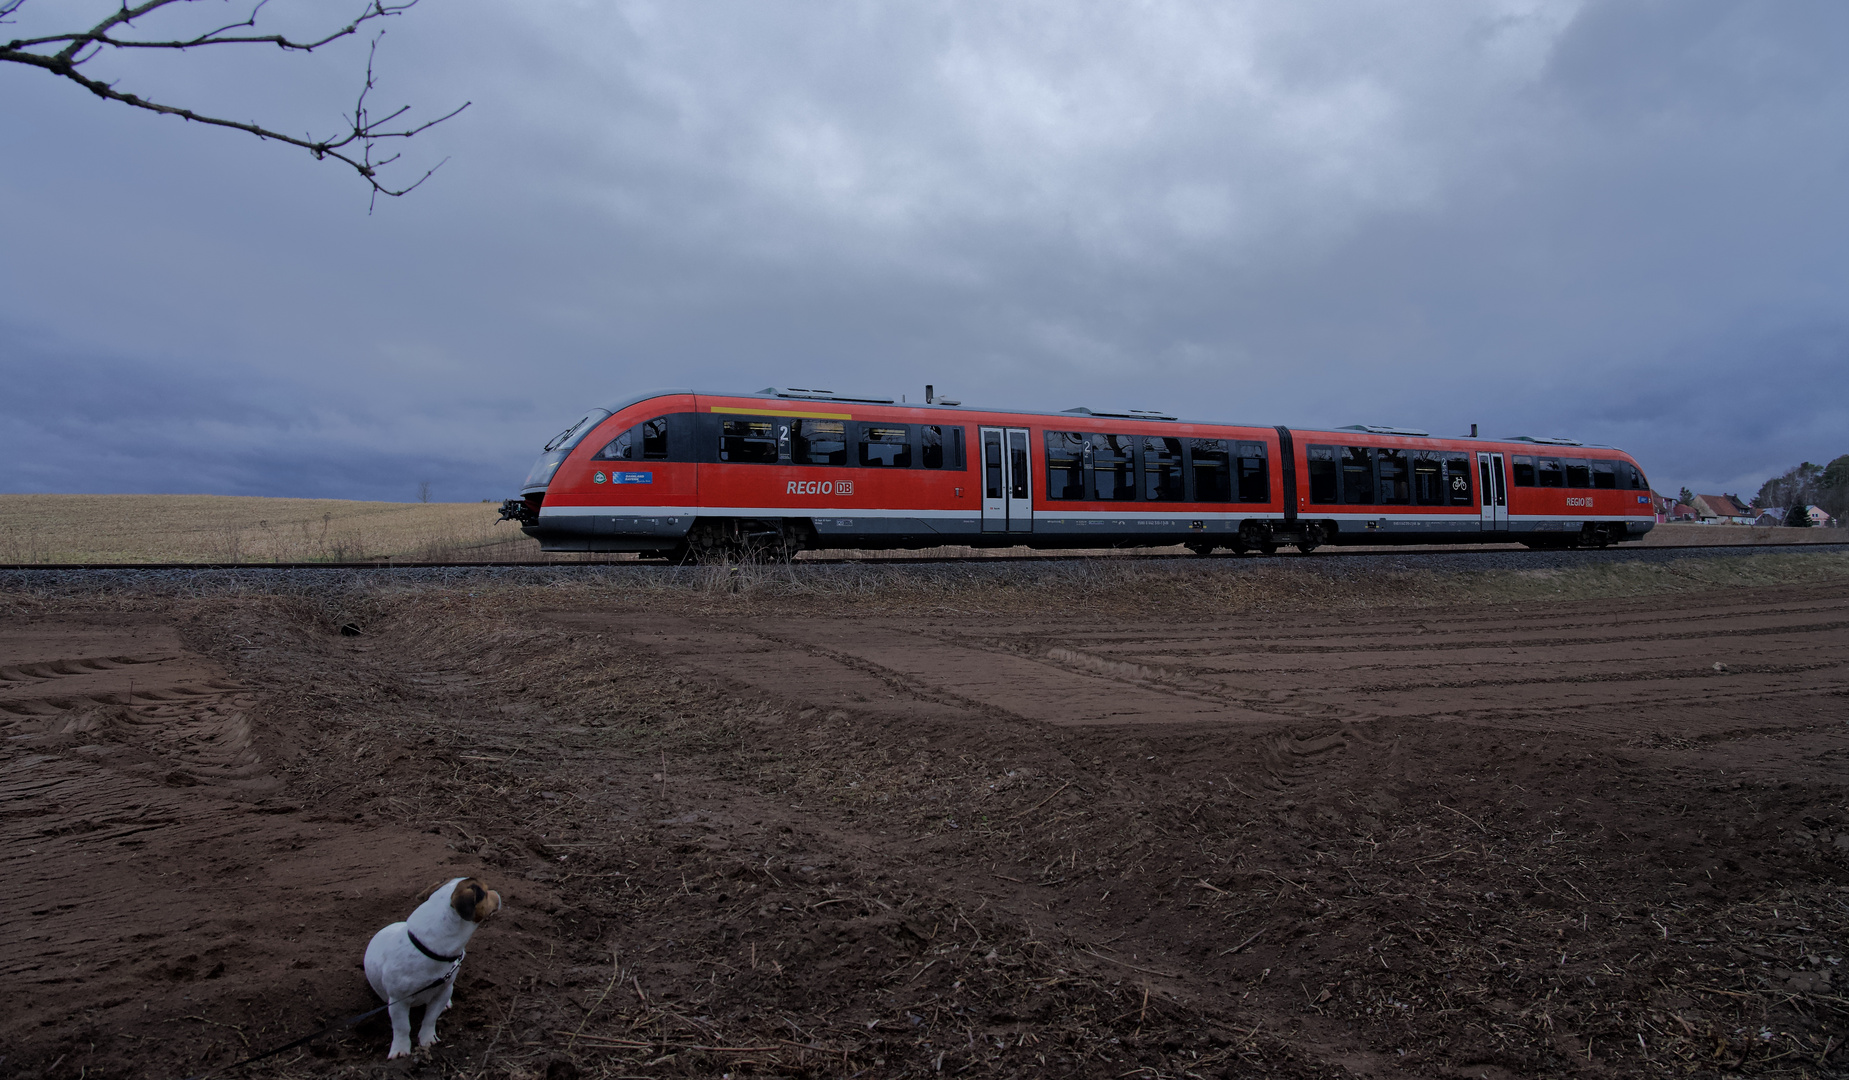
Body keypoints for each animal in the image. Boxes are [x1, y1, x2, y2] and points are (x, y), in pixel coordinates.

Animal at [362, 872, 502, 1057]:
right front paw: (400, 1049)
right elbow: (402, 1027)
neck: (429, 947)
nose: (497, 892)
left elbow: (430, 1018)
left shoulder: (443, 990)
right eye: (485, 892)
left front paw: (428, 1038)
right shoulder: (398, 1001)